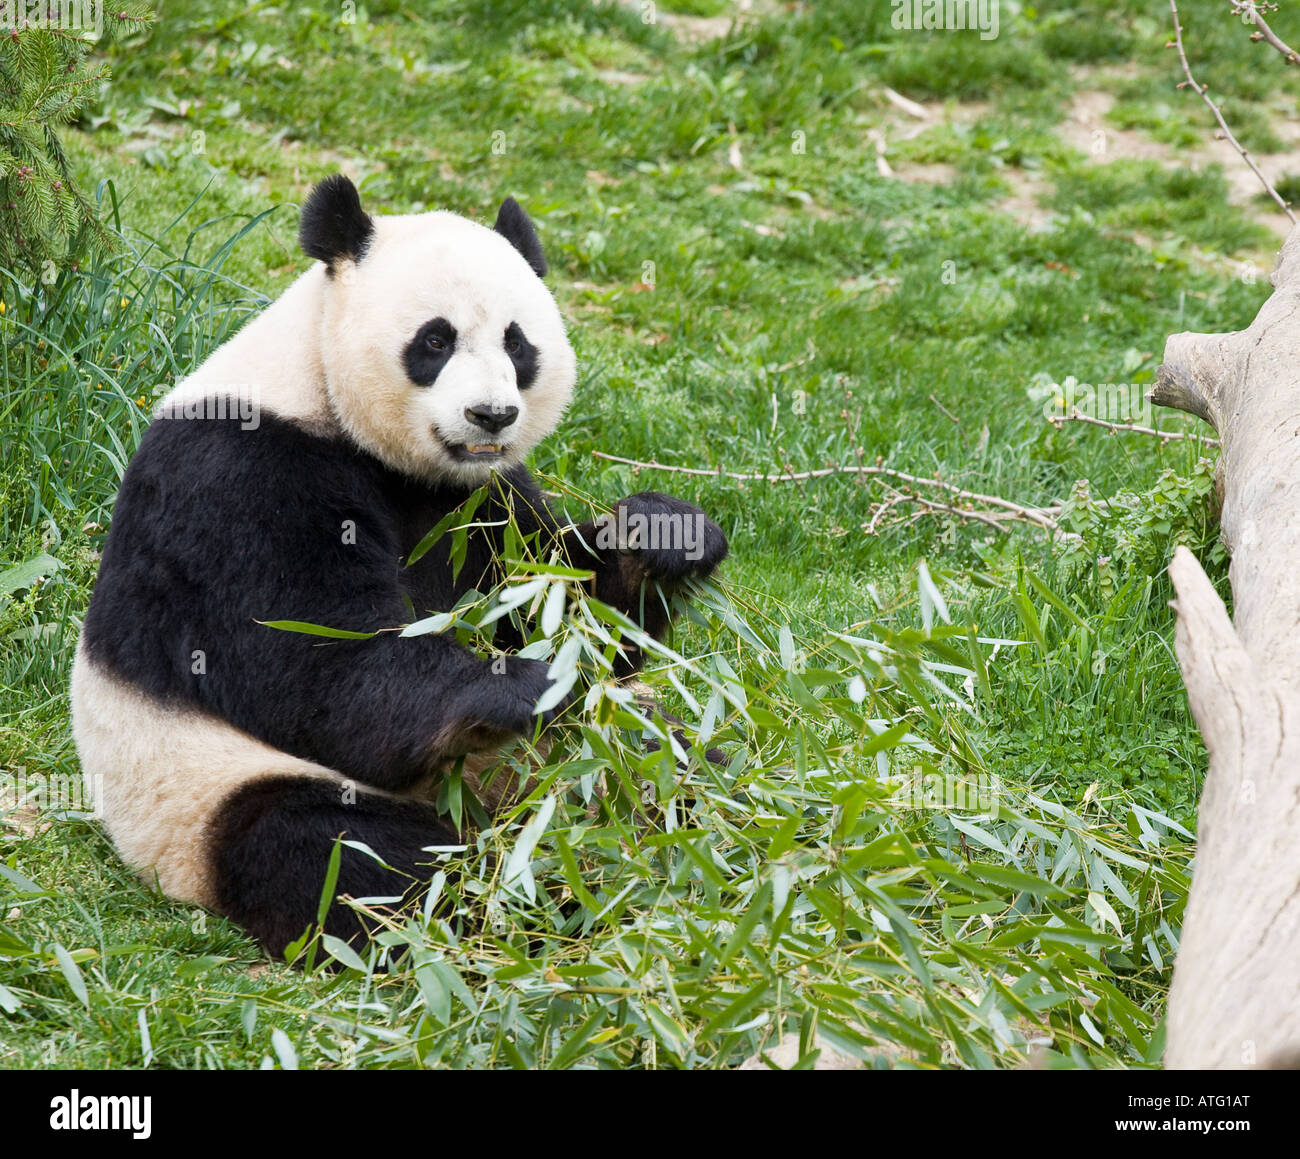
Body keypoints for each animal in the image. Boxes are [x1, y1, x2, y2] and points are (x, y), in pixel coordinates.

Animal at [71, 176, 728, 961]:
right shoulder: (238, 476)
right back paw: (519, 902)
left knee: (671, 756)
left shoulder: (482, 499)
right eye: (435, 340)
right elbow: (317, 665)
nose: (492, 414)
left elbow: (564, 608)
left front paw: (662, 534)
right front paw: (517, 687)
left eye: (518, 343)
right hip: (200, 792)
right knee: (338, 851)